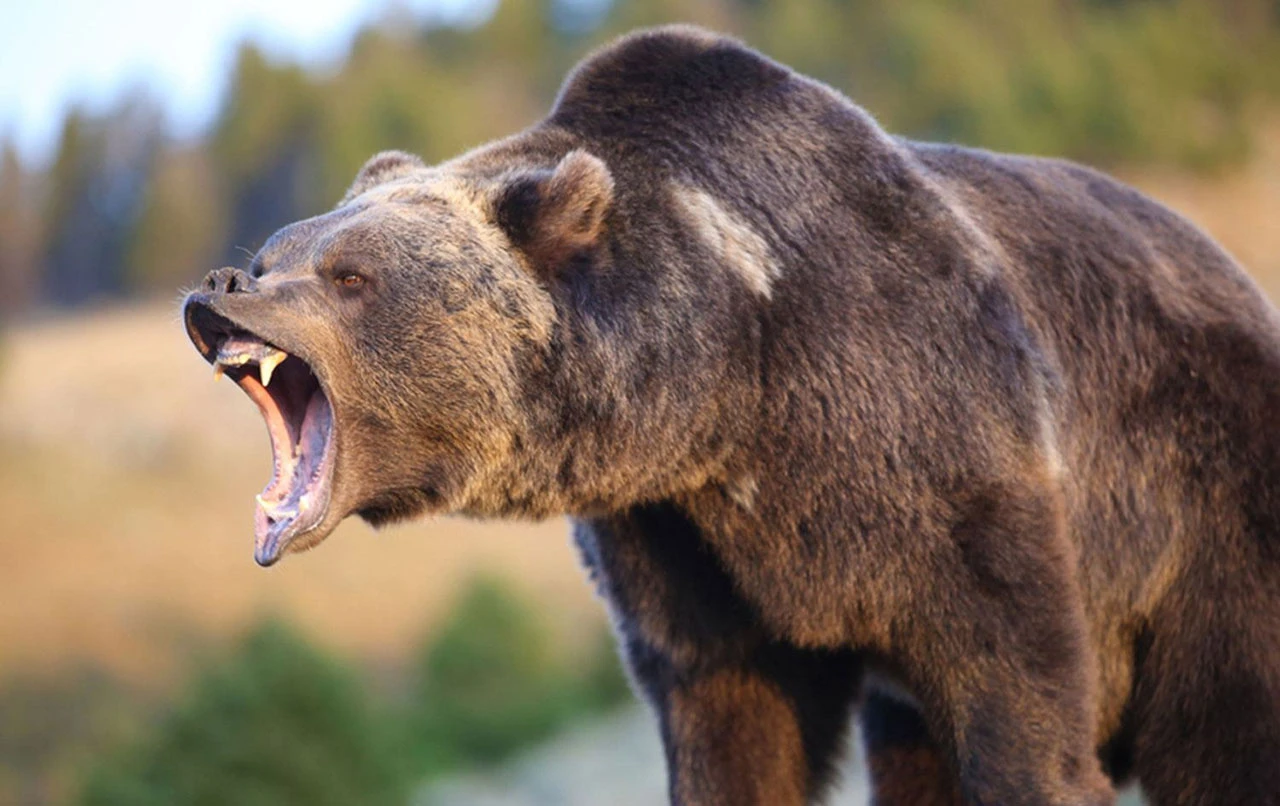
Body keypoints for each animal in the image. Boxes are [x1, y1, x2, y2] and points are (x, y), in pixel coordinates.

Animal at [183, 25, 1280, 806]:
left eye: (349, 274)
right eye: (275, 251)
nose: (220, 288)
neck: (728, 390)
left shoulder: (952, 463)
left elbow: (1019, 701)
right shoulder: (686, 552)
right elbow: (730, 727)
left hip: (1209, 501)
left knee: (1227, 725)